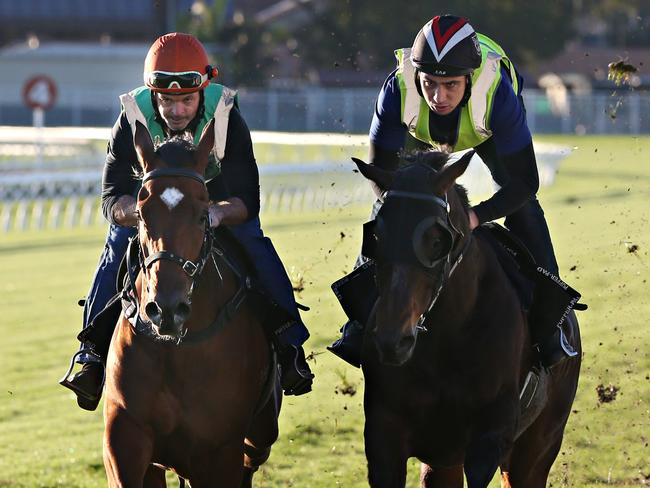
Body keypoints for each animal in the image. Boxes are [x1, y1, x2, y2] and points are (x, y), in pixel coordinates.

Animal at [102, 119, 278, 488]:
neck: (176, 350)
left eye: (201, 214)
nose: (166, 309)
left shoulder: (220, 450)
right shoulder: (125, 438)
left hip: (260, 432)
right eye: (141, 215)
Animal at [352, 151, 580, 486]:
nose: (393, 340)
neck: (446, 336)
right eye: (377, 236)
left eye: (437, 240)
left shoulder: (490, 438)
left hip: (537, 448)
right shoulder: (385, 437)